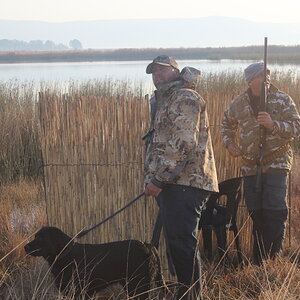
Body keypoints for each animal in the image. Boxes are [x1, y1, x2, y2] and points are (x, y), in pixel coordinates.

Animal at [24, 226, 166, 298]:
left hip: (137, 286)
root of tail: (149, 246)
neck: (66, 255)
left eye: (42, 238)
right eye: (35, 236)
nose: (25, 247)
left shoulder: (77, 292)